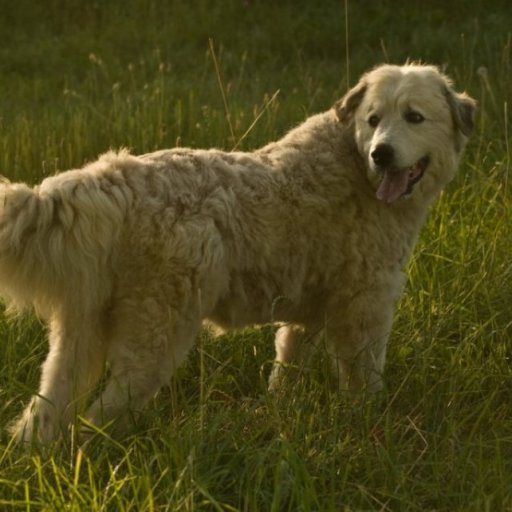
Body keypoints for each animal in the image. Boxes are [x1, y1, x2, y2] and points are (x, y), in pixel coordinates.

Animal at [1, 64, 476, 446]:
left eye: (414, 117)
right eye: (373, 120)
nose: (382, 152)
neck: (355, 169)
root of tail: (114, 178)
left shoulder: (307, 315)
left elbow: (287, 370)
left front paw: (281, 413)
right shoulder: (366, 307)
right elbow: (364, 378)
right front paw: (368, 425)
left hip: (77, 340)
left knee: (43, 414)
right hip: (153, 342)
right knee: (98, 419)